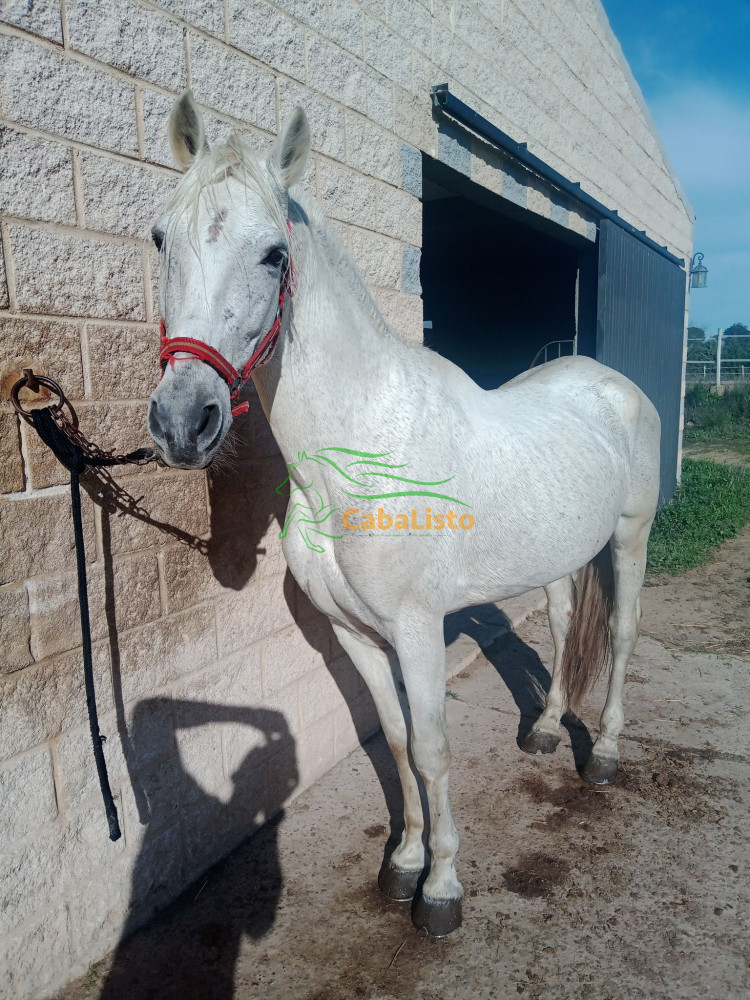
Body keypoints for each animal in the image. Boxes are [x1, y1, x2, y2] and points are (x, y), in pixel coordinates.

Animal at [147, 91, 661, 936]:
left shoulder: (419, 632)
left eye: (274, 255)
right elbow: (391, 740)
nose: (183, 420)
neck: (357, 455)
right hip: (558, 554)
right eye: (161, 237)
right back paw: (547, 728)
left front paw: (443, 889)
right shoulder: (355, 633)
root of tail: (611, 382)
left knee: (619, 635)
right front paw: (405, 864)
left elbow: (429, 750)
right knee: (560, 626)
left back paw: (607, 756)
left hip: (629, 535)